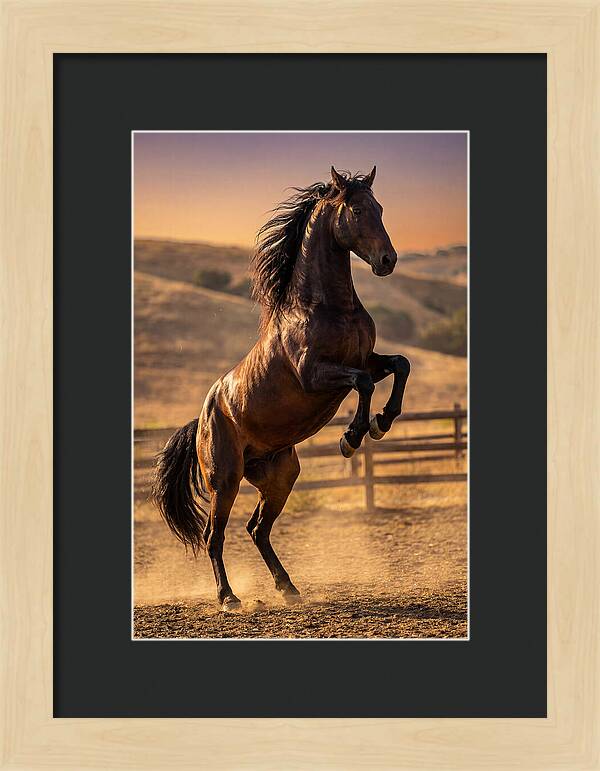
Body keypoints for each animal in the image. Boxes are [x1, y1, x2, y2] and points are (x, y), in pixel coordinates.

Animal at [152, 166, 411, 611]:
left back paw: (288, 588)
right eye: (357, 210)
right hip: (225, 479)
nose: (387, 260)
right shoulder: (315, 374)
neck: (326, 306)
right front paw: (351, 437)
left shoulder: (366, 360)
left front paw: (382, 422)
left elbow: (399, 365)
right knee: (213, 536)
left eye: (379, 208)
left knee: (257, 529)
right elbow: (362, 384)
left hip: (279, 476)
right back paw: (228, 598)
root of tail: (202, 417)